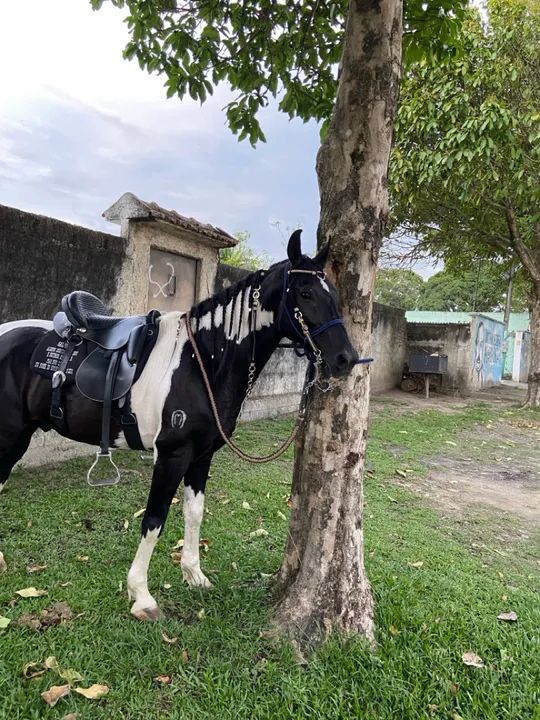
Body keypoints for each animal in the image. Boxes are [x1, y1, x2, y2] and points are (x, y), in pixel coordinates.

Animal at [0, 230, 359, 620]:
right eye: (305, 293)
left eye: (333, 293)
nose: (347, 359)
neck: (202, 361)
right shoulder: (172, 455)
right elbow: (154, 519)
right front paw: (141, 595)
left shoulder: (202, 455)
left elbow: (194, 513)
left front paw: (194, 574)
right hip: (10, 436)